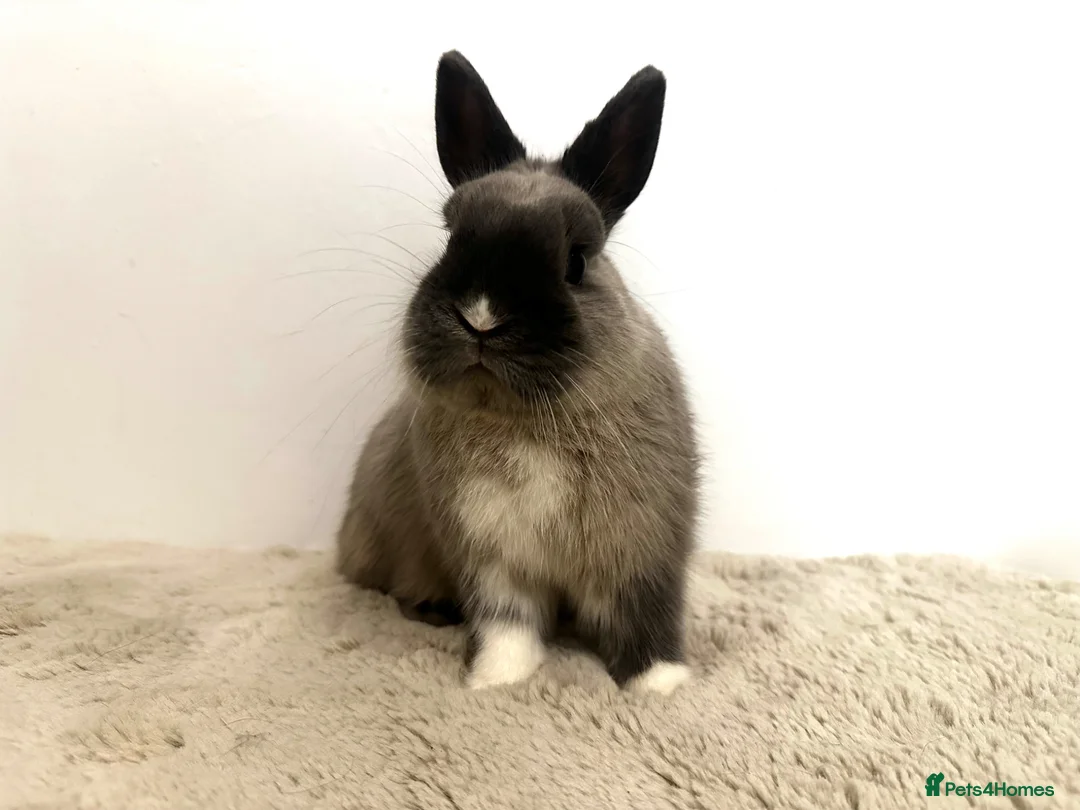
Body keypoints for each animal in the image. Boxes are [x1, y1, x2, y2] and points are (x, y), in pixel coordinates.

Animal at [335, 50, 701, 694]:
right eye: (451, 237)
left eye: (578, 261)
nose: (482, 318)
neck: (523, 421)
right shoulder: (487, 556)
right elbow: (506, 623)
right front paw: (496, 682)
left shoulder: (643, 548)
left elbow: (644, 615)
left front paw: (660, 688)